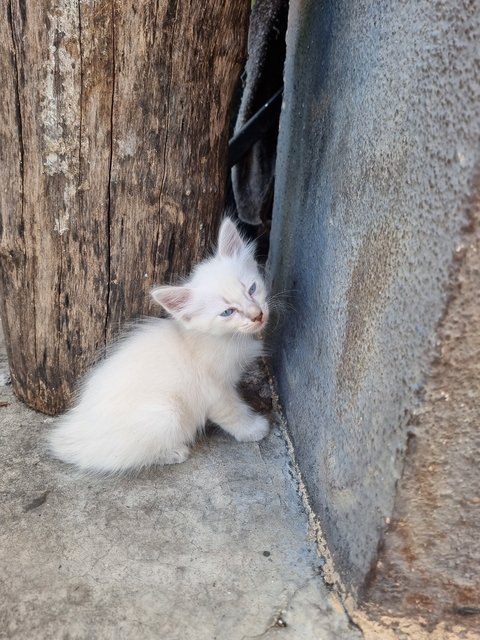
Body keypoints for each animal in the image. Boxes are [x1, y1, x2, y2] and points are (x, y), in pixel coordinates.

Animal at [48, 218, 270, 472]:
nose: (257, 315)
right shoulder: (215, 392)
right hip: (166, 415)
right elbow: (233, 413)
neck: (224, 338)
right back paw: (173, 452)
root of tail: (73, 433)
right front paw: (254, 429)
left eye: (252, 289)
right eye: (227, 312)